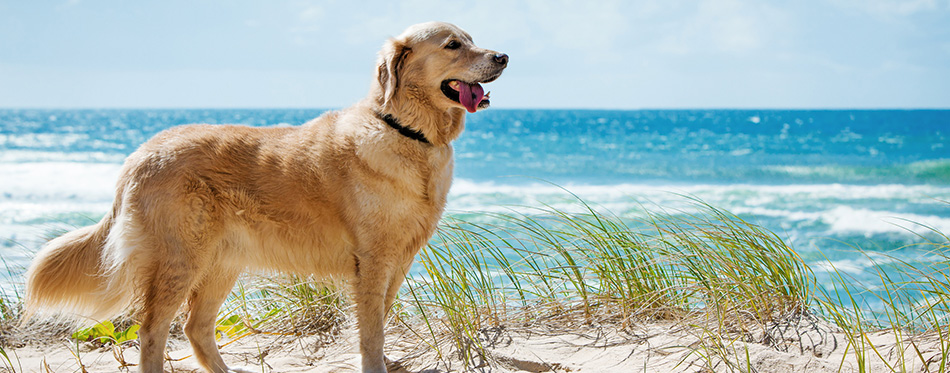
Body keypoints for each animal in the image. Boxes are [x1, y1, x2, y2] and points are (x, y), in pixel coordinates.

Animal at [24, 21, 506, 370]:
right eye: (452, 45)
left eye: (472, 40)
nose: (503, 56)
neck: (407, 131)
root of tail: (142, 152)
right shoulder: (372, 260)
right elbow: (371, 331)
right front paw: (375, 364)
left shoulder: (398, 259)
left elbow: (381, 320)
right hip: (180, 259)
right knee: (152, 331)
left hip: (222, 261)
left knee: (196, 328)